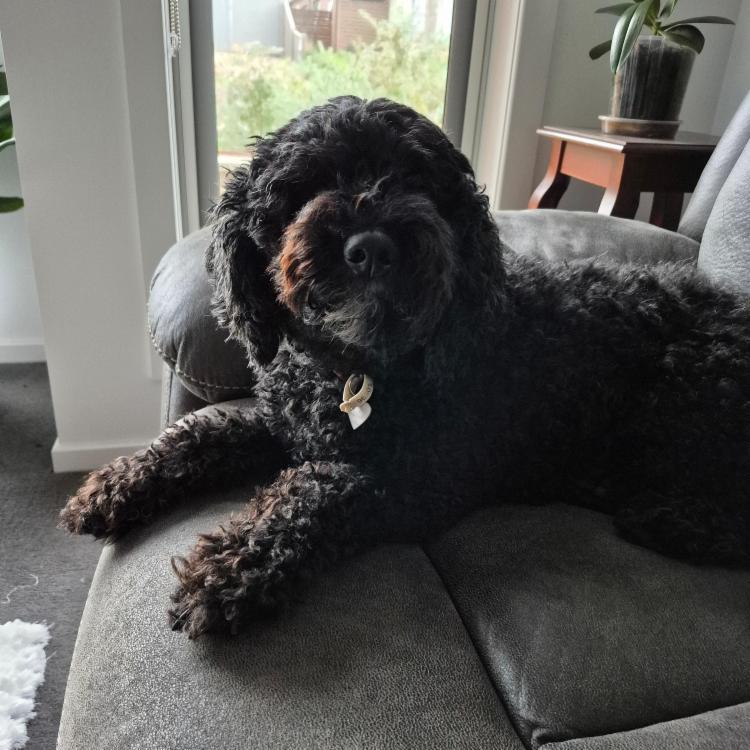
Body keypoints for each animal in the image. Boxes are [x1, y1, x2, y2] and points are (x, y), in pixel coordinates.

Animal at [61, 96, 750, 639]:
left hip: (682, 397)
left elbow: (316, 491)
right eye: (308, 183)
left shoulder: (418, 480)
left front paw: (231, 565)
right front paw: (119, 482)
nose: (370, 247)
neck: (355, 368)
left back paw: (664, 516)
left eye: (417, 179)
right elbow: (206, 433)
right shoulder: (286, 426)